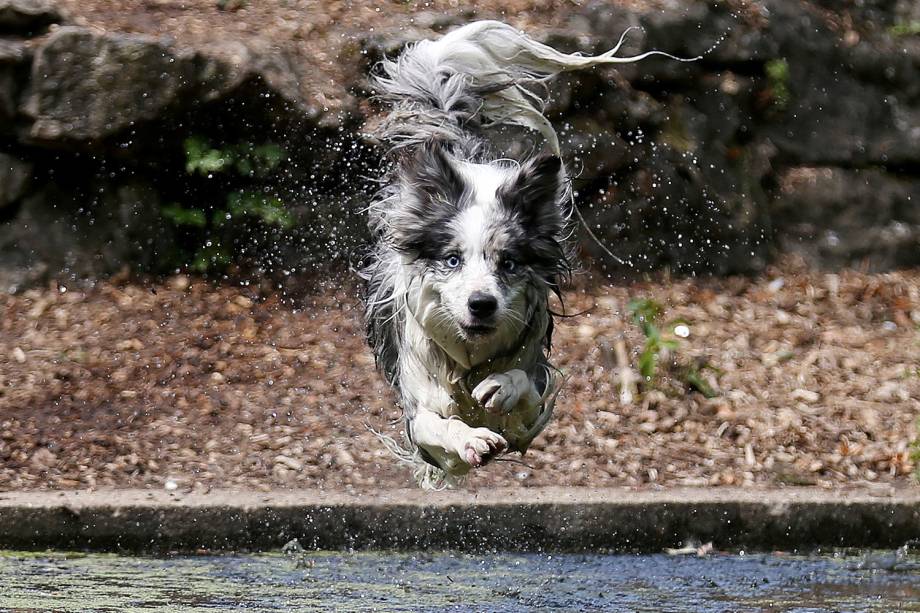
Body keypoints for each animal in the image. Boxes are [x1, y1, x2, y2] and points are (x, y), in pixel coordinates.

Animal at [360, 20, 684, 488]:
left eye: (508, 263)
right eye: (452, 259)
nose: (481, 304)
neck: (470, 357)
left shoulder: (533, 398)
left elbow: (525, 388)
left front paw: (504, 387)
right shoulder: (418, 409)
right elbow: (436, 424)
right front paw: (469, 439)